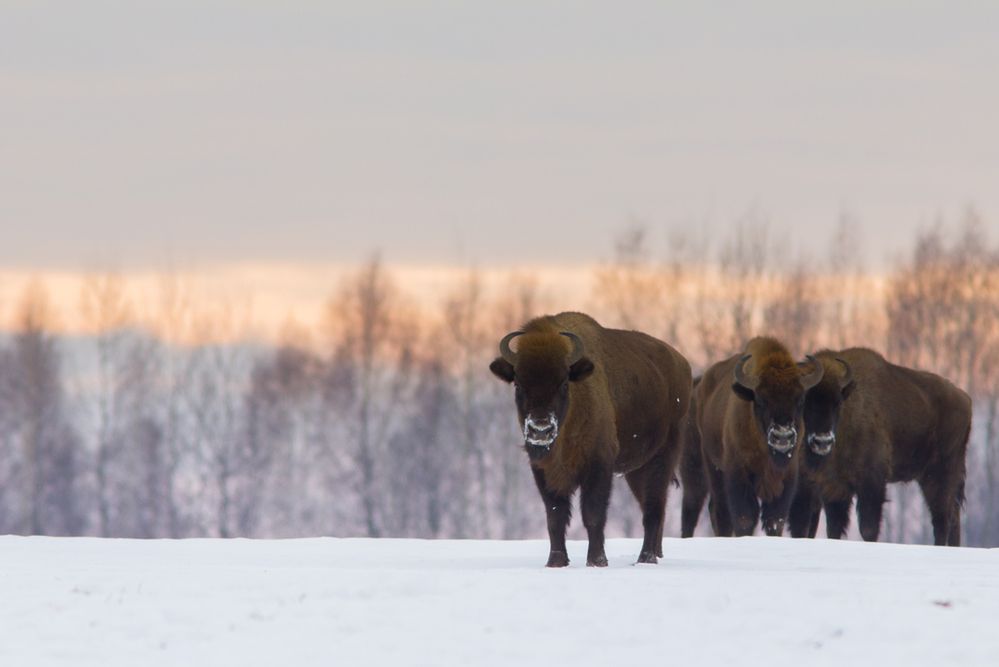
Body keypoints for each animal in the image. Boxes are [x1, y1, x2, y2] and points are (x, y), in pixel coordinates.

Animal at [488, 314, 692, 568]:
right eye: (518, 384)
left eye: (564, 383)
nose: (540, 429)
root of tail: (683, 365)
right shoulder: (543, 470)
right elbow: (555, 516)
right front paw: (556, 562)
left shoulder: (598, 465)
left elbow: (593, 514)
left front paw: (597, 561)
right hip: (637, 470)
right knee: (653, 505)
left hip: (662, 456)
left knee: (653, 508)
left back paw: (646, 558)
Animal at [684, 340, 824, 536]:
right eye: (761, 400)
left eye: (801, 400)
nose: (782, 436)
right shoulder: (738, 475)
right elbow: (744, 518)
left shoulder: (785, 479)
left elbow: (775, 520)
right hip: (712, 467)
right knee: (719, 509)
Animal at [784, 348, 972, 544]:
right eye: (806, 402)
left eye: (838, 403)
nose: (823, 441)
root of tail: (965, 399)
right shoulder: (831, 488)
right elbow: (831, 528)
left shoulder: (871, 483)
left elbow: (868, 529)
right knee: (952, 516)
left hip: (939, 476)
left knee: (942, 518)